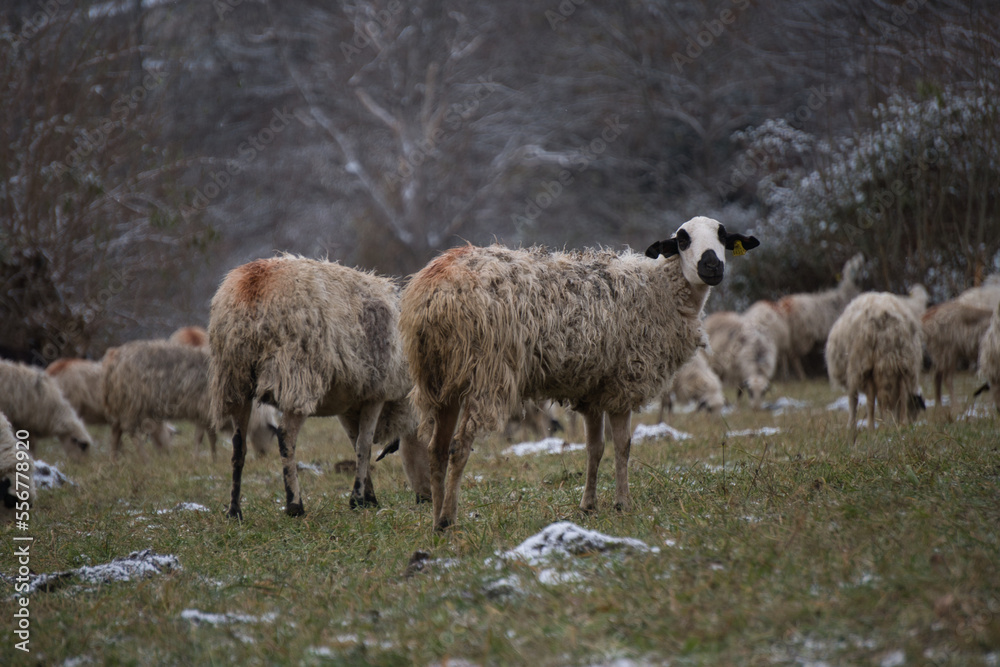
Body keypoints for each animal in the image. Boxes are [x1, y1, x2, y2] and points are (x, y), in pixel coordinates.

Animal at [209, 255, 432, 519]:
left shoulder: (349, 402)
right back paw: (295, 505)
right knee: (285, 436)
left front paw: (368, 496)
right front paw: (358, 499)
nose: (427, 499)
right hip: (296, 376)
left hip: (234, 379)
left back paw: (234, 510)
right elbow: (364, 445)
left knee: (238, 447)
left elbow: (356, 444)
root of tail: (252, 287)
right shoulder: (376, 393)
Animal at [400, 216, 759, 531]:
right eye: (683, 240)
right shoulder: (623, 383)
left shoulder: (592, 390)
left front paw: (588, 505)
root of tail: (434, 290)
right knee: (458, 447)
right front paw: (623, 503)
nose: (712, 266)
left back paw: (436, 519)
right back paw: (448, 519)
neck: (660, 291)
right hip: (483, 374)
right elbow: (623, 445)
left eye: (723, 237)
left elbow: (594, 448)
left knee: (436, 449)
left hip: (437, 380)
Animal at [825, 292, 925, 441]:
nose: (912, 422)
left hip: (863, 364)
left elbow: (855, 400)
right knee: (898, 394)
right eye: (915, 407)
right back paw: (898, 424)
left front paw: (853, 426)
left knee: (869, 398)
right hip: (902, 362)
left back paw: (873, 427)